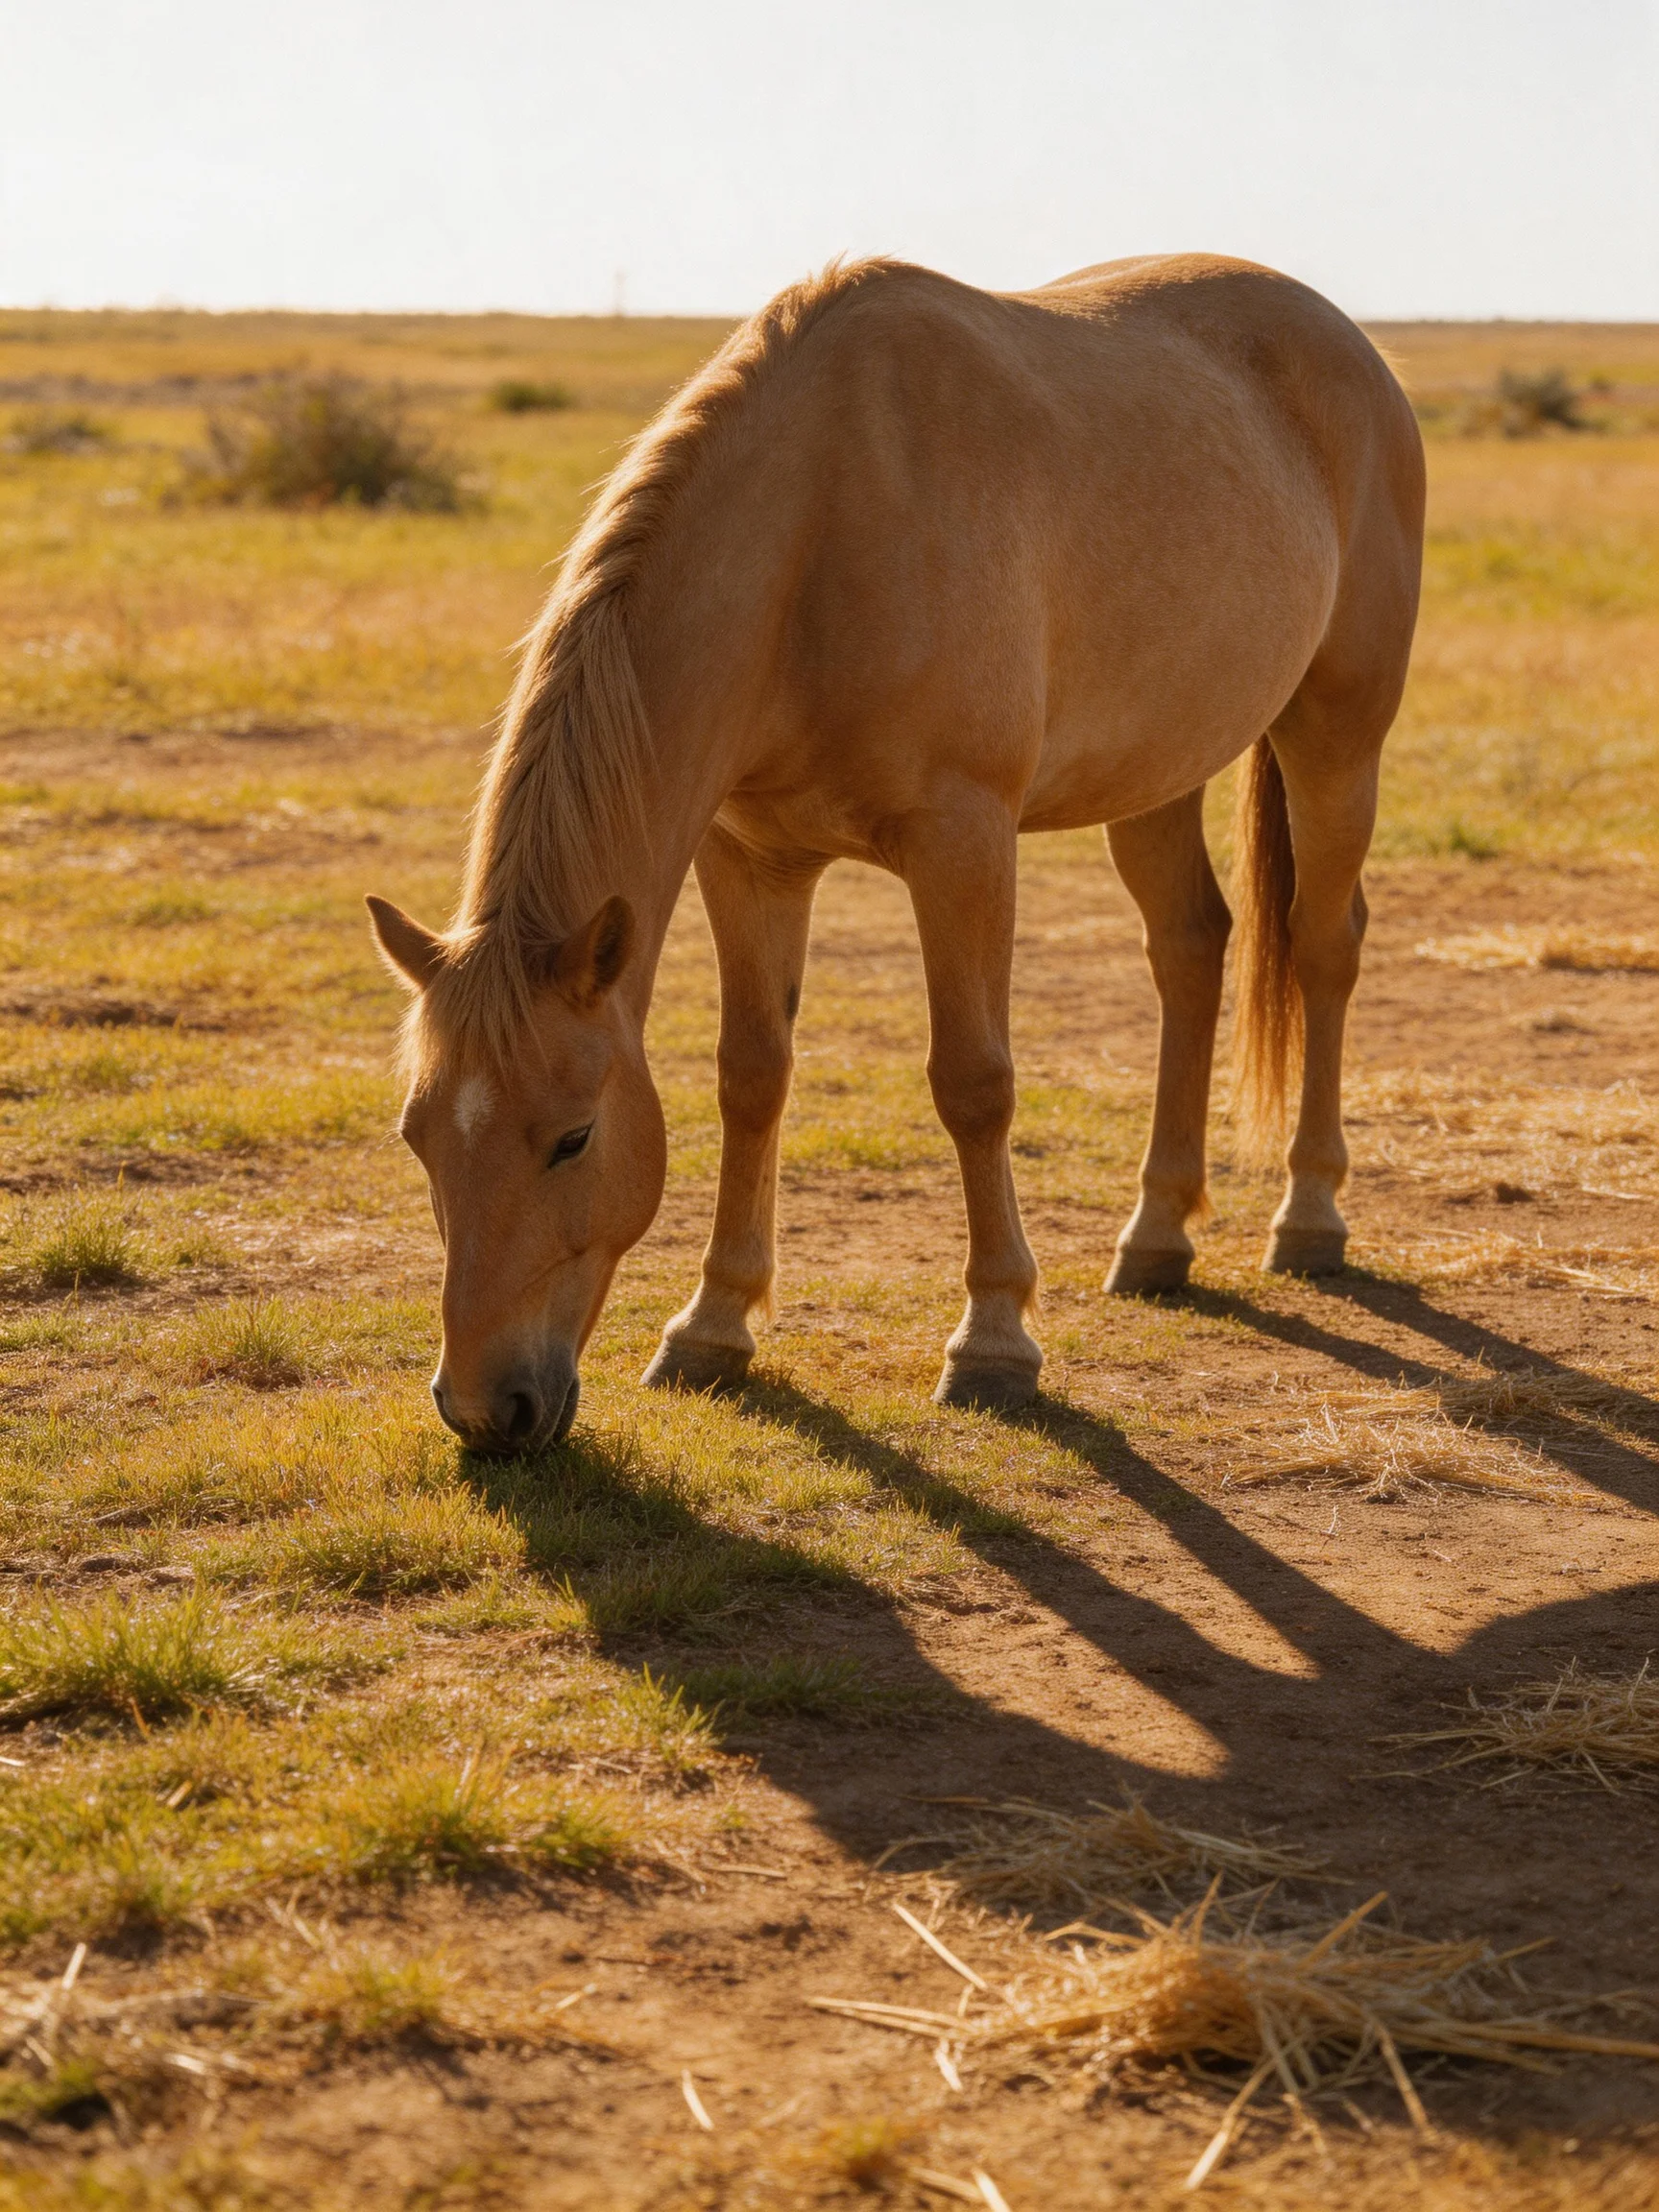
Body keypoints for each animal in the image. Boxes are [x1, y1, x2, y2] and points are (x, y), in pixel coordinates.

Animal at [367, 253, 1424, 1456]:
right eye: (417, 1137)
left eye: (574, 1139)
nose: (483, 1408)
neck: (818, 536)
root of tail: (1346, 343)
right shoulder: (749, 858)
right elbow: (751, 1076)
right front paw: (714, 1325)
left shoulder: (962, 842)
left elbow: (973, 1083)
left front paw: (995, 1342)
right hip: (1155, 773)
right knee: (1192, 949)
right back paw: (1157, 1236)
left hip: (1337, 736)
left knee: (1324, 945)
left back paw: (1311, 1214)